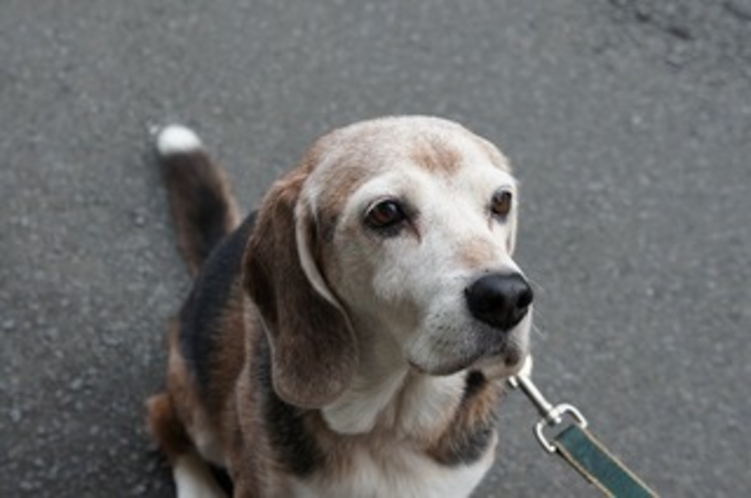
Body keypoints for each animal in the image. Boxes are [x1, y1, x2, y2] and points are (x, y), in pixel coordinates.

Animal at [147, 115, 536, 496]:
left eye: (502, 201)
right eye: (386, 212)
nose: (507, 298)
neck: (387, 431)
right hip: (203, 418)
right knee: (161, 412)